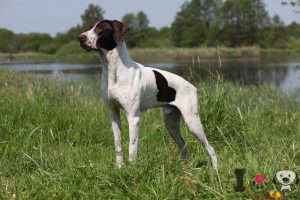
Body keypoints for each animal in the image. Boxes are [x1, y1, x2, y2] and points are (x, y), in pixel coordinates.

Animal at [78, 19, 217, 168]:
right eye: (90, 27)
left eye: (100, 28)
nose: (80, 37)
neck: (114, 71)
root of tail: (192, 86)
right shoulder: (113, 114)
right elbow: (118, 145)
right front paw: (119, 168)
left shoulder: (133, 118)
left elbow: (132, 148)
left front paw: (132, 169)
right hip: (171, 123)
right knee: (183, 146)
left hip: (192, 122)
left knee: (211, 149)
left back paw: (215, 169)